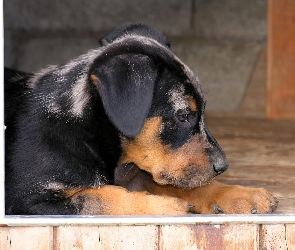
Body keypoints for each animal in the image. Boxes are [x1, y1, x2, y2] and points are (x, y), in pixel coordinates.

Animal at [4, 23, 278, 215]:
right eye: (183, 115)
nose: (223, 166)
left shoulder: (141, 172)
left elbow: (176, 184)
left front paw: (241, 195)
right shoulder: (27, 199)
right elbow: (100, 197)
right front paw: (169, 207)